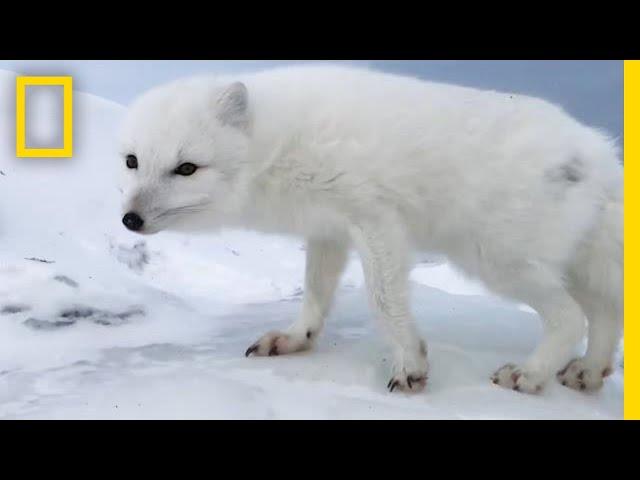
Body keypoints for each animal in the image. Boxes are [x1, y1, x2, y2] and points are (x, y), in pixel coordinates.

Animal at [117, 64, 624, 394]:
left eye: (187, 168)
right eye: (132, 161)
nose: (130, 219)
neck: (276, 144)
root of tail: (599, 155)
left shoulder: (375, 219)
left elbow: (383, 300)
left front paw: (410, 362)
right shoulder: (326, 230)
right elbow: (315, 293)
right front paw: (295, 338)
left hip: (495, 259)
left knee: (571, 317)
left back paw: (531, 374)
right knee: (605, 314)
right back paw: (587, 372)